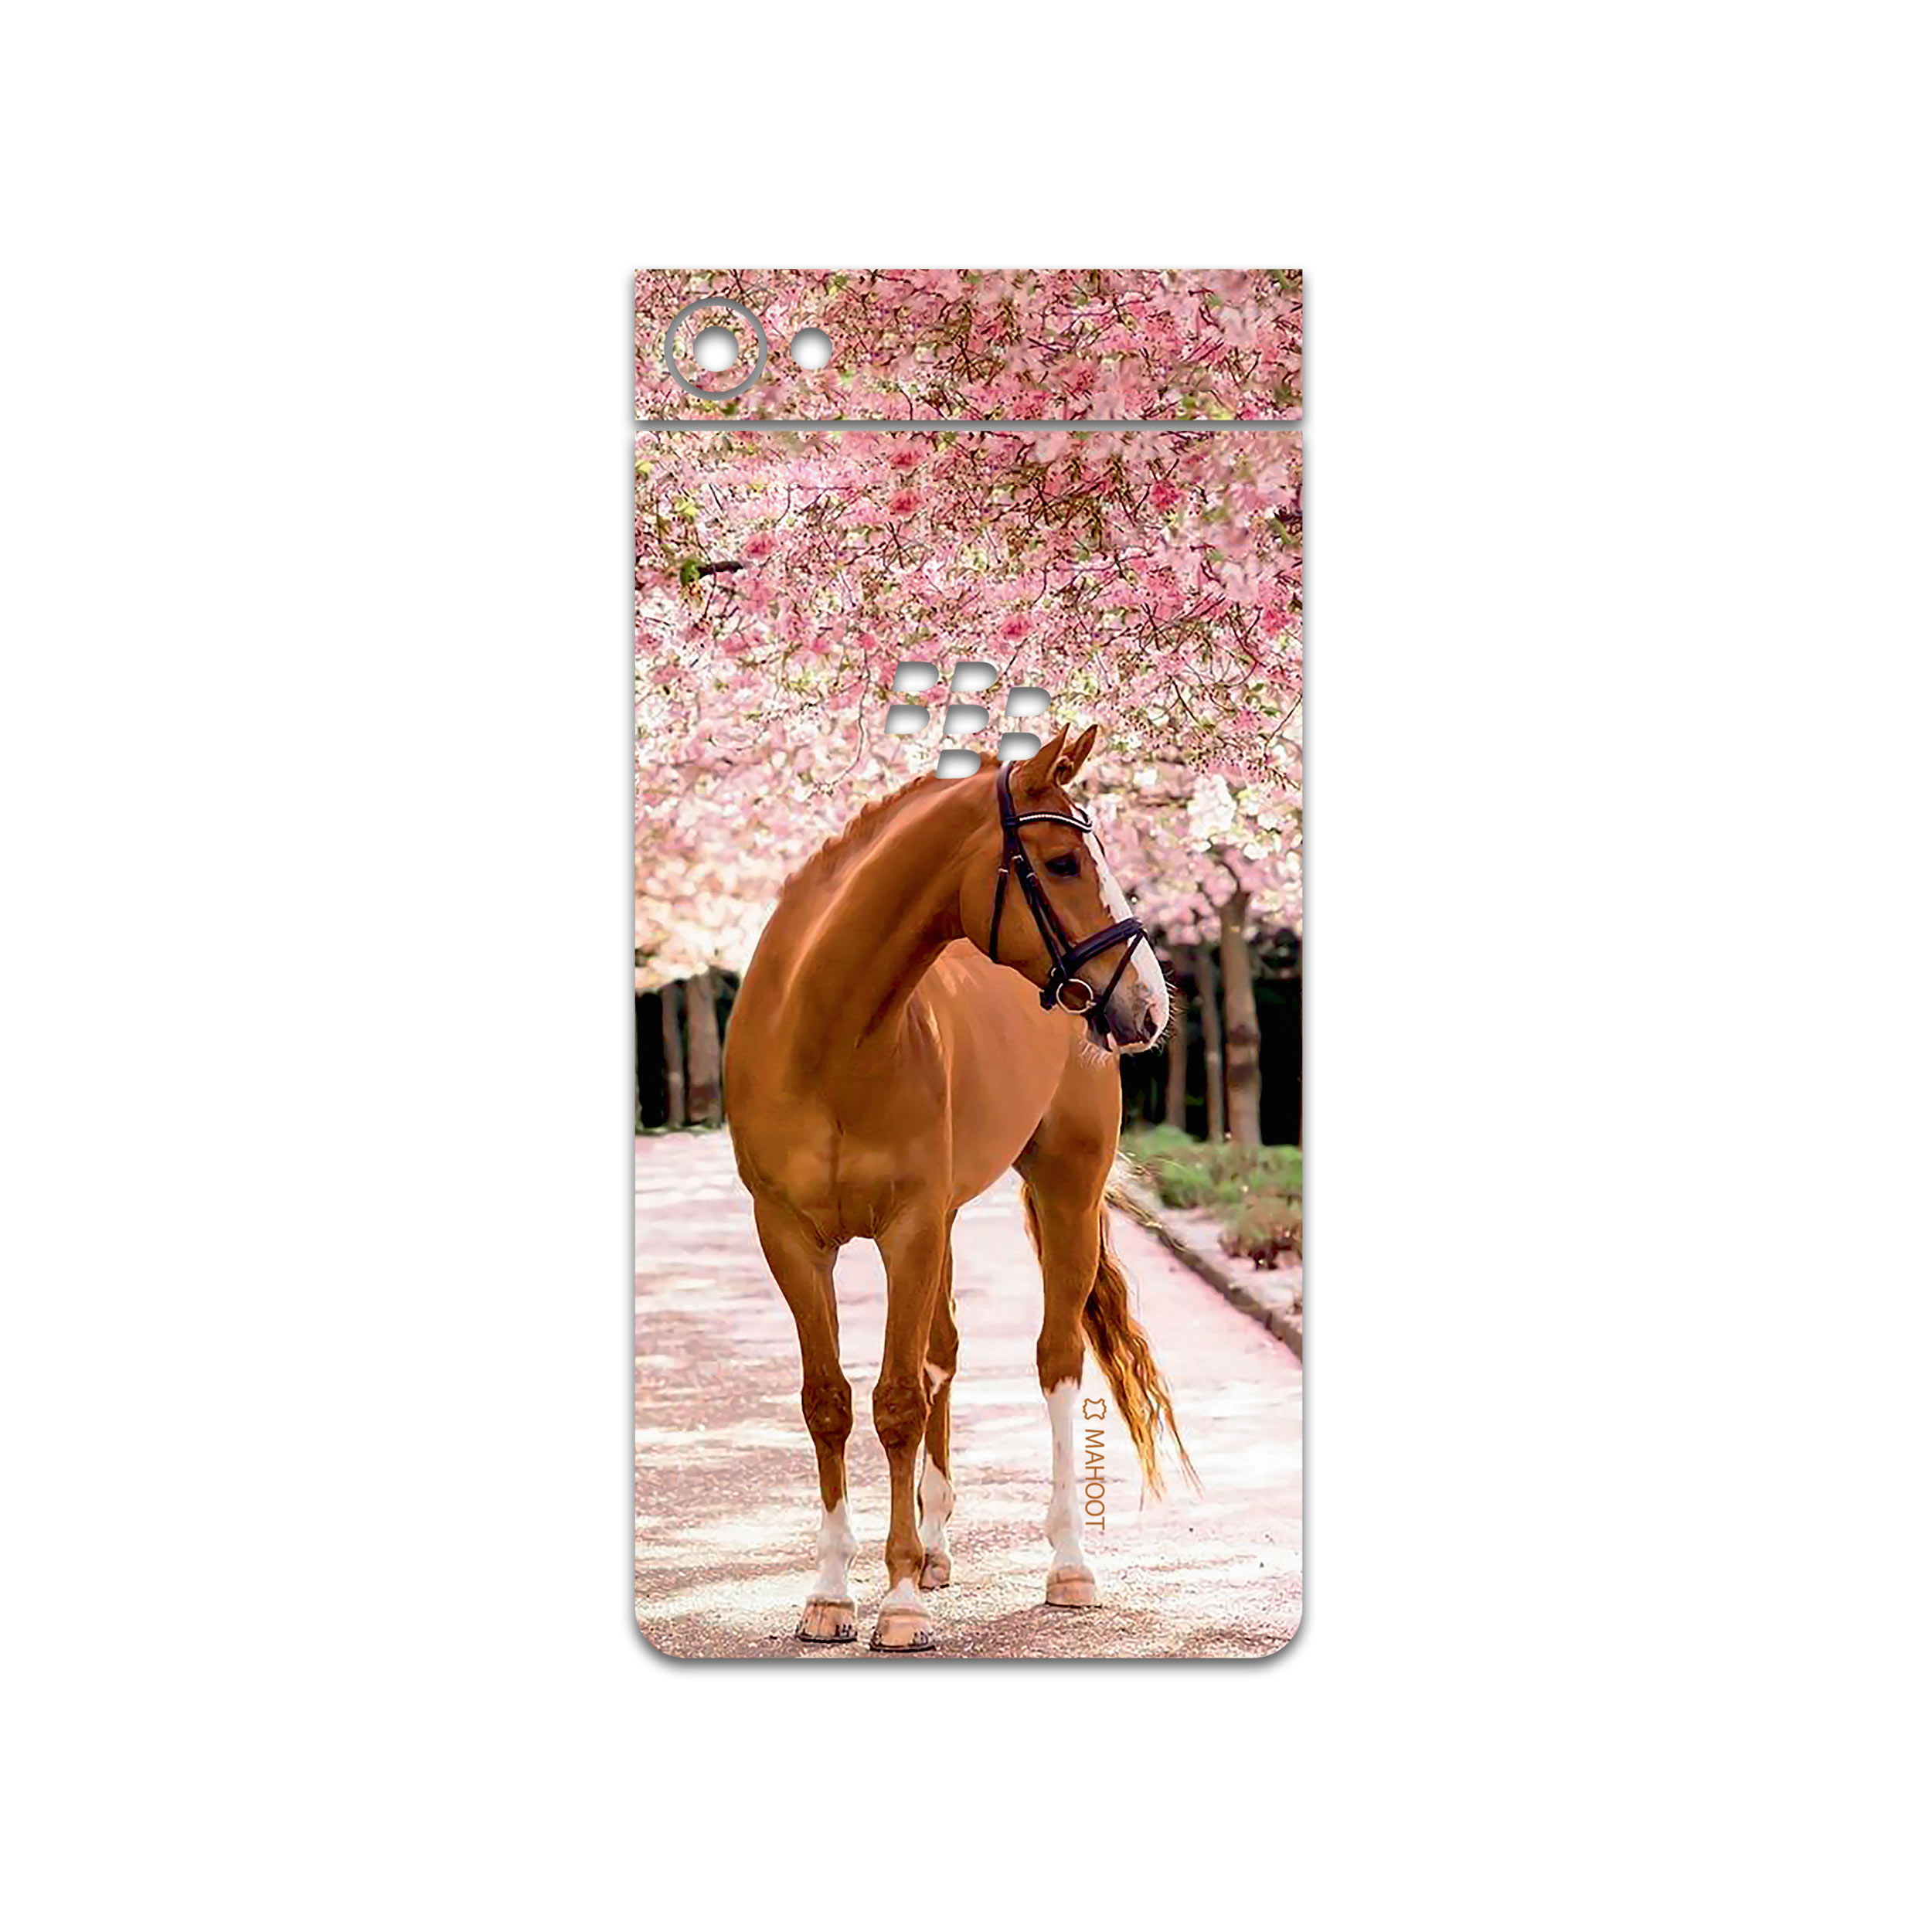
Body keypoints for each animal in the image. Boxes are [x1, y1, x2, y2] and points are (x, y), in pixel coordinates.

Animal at [723, 724, 1192, 1652]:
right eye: (1061, 862)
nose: (1150, 1005)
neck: (825, 1036)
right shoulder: (790, 1236)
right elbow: (829, 1402)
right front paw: (831, 1594)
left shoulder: (906, 1227)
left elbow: (898, 1401)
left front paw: (898, 1603)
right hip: (942, 1222)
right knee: (942, 1353)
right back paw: (937, 1549)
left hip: (1064, 1191)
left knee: (1055, 1359)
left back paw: (1067, 1565)